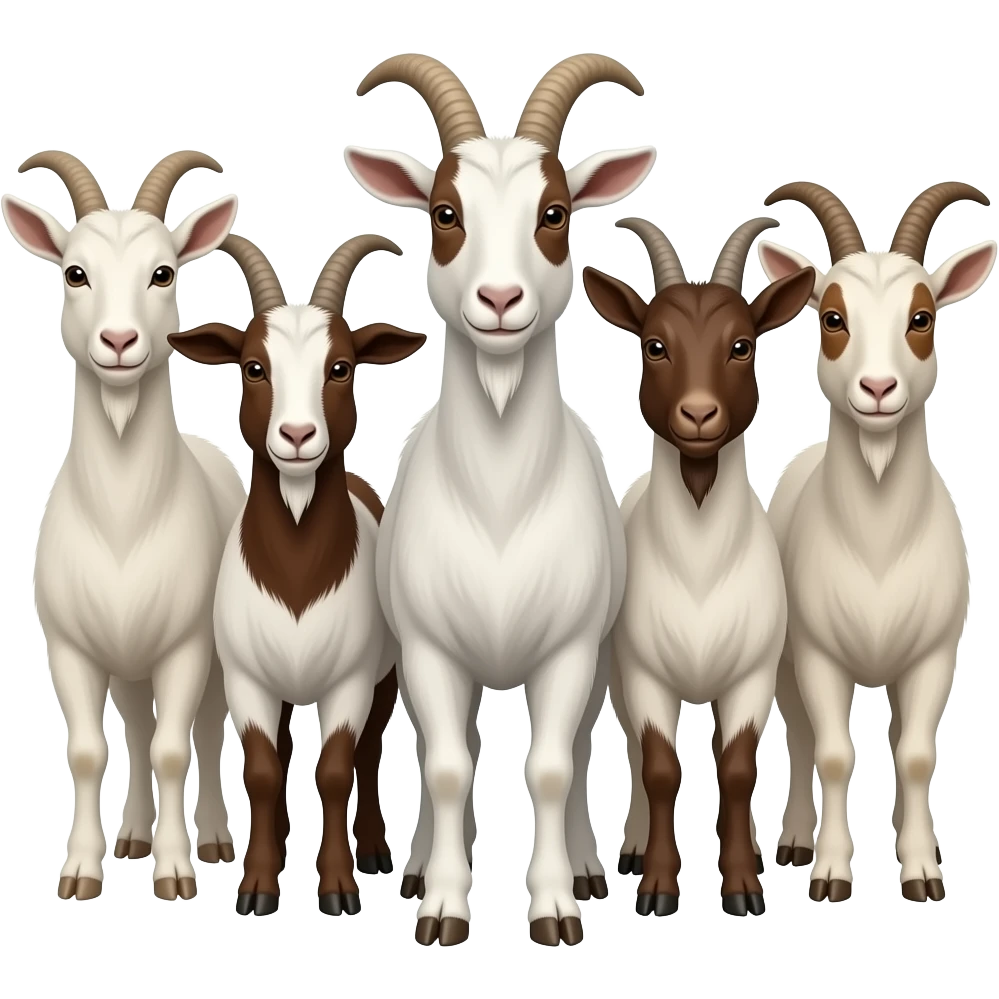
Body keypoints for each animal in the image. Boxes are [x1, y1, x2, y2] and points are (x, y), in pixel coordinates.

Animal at [4, 150, 242, 902]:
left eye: (163, 272)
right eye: (74, 272)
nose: (118, 341)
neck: (123, 521)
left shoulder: (187, 645)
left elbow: (172, 750)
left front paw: (176, 871)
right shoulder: (70, 645)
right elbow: (87, 751)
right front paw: (81, 870)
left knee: (198, 734)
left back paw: (213, 839)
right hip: (125, 663)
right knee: (134, 728)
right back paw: (132, 836)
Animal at [168, 233, 426, 917]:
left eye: (341, 366)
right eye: (254, 366)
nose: (298, 435)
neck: (297, 576)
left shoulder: (351, 680)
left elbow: (334, 770)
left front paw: (337, 886)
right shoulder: (248, 679)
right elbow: (261, 770)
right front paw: (258, 884)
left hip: (385, 678)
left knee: (368, 752)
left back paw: (373, 852)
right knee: (283, 750)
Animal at [342, 52, 658, 947]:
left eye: (554, 211)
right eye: (444, 211)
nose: (499, 300)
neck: (499, 507)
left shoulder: (570, 650)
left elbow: (550, 767)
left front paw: (552, 906)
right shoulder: (429, 651)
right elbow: (450, 767)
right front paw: (445, 906)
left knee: (580, 752)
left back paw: (584, 867)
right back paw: (417, 869)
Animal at [582, 217, 815, 918]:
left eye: (741, 345)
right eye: (655, 345)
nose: (699, 414)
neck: (700, 571)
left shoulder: (752, 674)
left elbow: (737, 771)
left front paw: (742, 885)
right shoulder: (645, 672)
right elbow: (660, 768)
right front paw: (658, 887)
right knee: (634, 754)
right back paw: (632, 849)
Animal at [756, 180, 994, 903]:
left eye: (922, 317)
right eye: (832, 317)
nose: (879, 388)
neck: (877, 547)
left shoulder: (933, 655)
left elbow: (915, 754)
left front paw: (921, 870)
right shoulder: (818, 656)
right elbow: (833, 752)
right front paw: (832, 871)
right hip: (786, 665)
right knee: (802, 737)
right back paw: (796, 841)